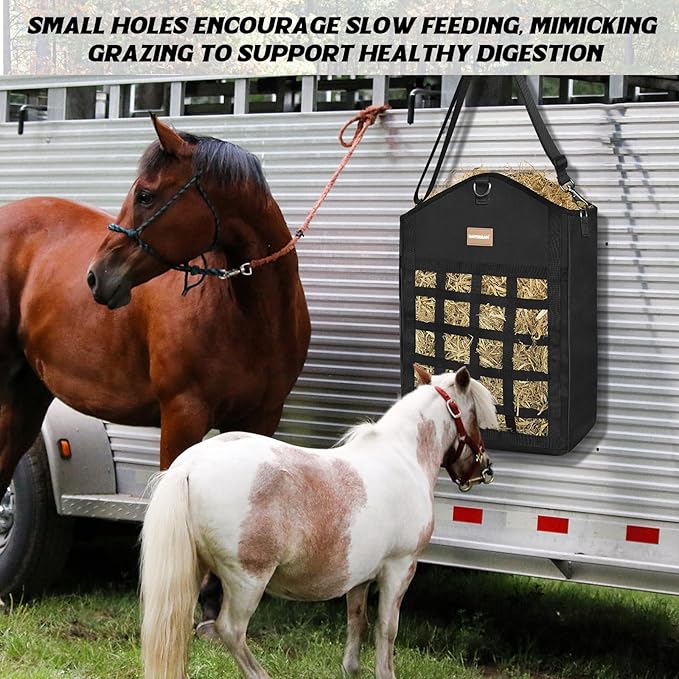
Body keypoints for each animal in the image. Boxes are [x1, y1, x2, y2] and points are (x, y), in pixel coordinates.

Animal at [0, 116, 310, 607]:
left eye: (145, 195)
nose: (96, 277)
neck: (245, 314)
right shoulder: (182, 414)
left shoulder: (261, 419)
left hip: (27, 395)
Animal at [139, 365, 498, 679]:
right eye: (474, 417)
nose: (483, 469)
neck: (403, 457)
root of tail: (191, 465)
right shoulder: (400, 567)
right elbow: (387, 628)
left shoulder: (360, 576)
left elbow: (357, 620)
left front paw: (352, 669)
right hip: (247, 580)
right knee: (231, 630)